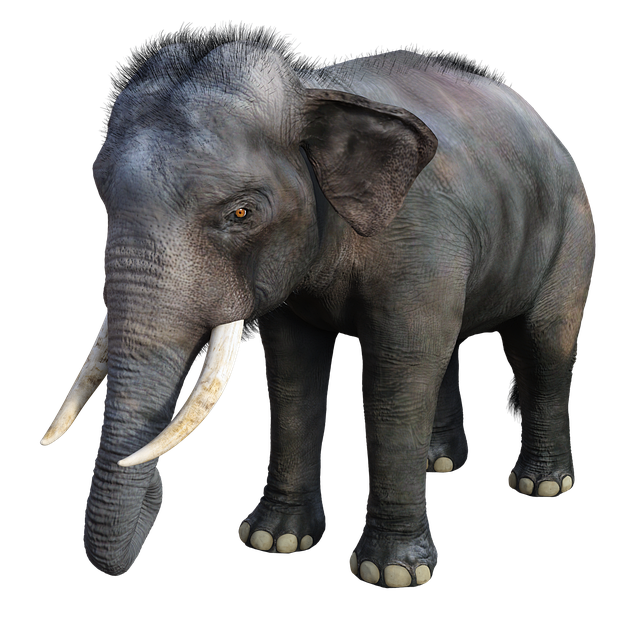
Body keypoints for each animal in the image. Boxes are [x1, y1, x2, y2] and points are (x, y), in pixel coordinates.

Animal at [40, 34, 596, 588]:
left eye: (242, 212)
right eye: (101, 193)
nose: (155, 511)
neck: (313, 89)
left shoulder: (421, 237)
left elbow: (397, 378)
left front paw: (389, 573)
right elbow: (291, 374)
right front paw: (274, 542)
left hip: (571, 231)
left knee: (539, 346)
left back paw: (541, 487)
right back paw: (437, 464)